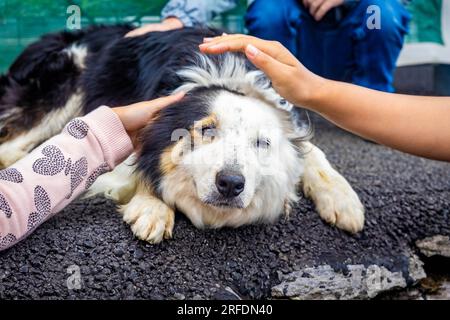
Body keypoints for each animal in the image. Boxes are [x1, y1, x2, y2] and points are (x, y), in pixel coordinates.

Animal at [0, 25, 364, 242]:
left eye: (262, 143)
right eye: (207, 130)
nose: (230, 184)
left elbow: (313, 152)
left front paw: (342, 199)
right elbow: (139, 162)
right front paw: (152, 206)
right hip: (67, 85)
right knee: (12, 146)